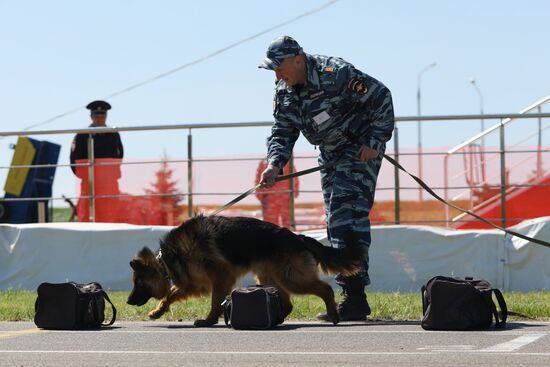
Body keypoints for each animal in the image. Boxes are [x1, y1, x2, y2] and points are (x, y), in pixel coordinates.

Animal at [126, 216, 364, 328]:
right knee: (288, 303)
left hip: (291, 278)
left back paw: (334, 314)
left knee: (325, 289)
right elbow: (170, 295)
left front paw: (209, 320)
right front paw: (157, 311)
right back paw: (276, 318)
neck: (168, 257)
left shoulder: (221, 277)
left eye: (139, 282)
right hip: (269, 276)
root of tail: (297, 237)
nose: (127, 301)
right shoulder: (193, 282)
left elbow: (214, 301)